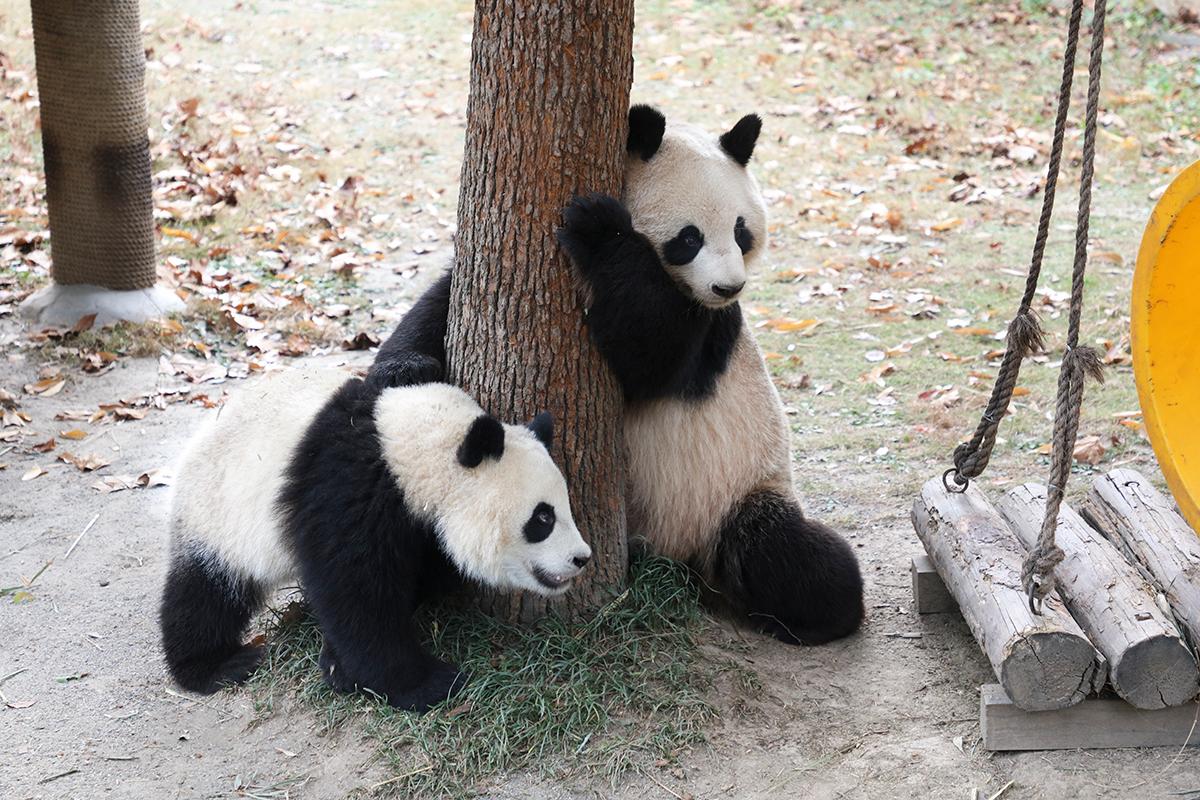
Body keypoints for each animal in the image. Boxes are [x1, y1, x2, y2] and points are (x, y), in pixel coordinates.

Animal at [159, 367, 590, 710]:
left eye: (566, 506)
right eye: (543, 517)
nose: (581, 558)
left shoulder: (418, 527)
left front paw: (337, 664)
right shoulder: (349, 489)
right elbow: (358, 594)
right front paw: (427, 683)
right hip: (218, 512)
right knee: (205, 591)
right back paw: (215, 664)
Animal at [372, 106, 864, 647]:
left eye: (741, 232)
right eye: (690, 238)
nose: (728, 286)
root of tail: (686, 557)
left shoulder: (706, 332)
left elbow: (649, 355)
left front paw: (600, 227)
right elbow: (440, 301)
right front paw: (407, 369)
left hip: (740, 491)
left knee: (789, 556)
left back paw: (822, 614)